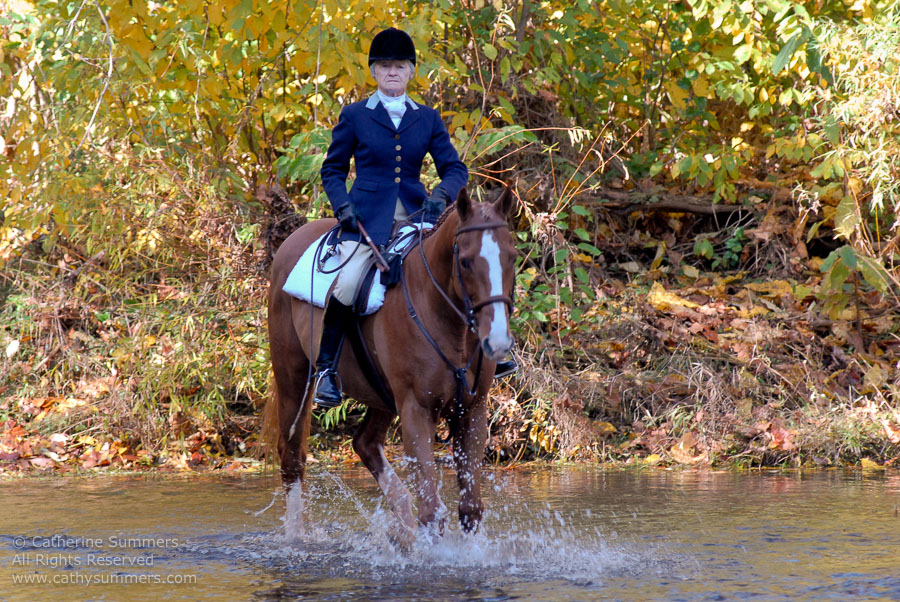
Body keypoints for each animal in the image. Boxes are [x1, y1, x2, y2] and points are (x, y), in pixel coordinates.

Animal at [262, 185, 512, 536]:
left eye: (511, 258)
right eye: (464, 262)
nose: (498, 342)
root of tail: (294, 238)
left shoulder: (472, 410)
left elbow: (470, 509)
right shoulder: (416, 410)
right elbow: (432, 512)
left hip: (381, 394)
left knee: (365, 443)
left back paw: (402, 531)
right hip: (294, 380)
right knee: (293, 457)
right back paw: (298, 538)